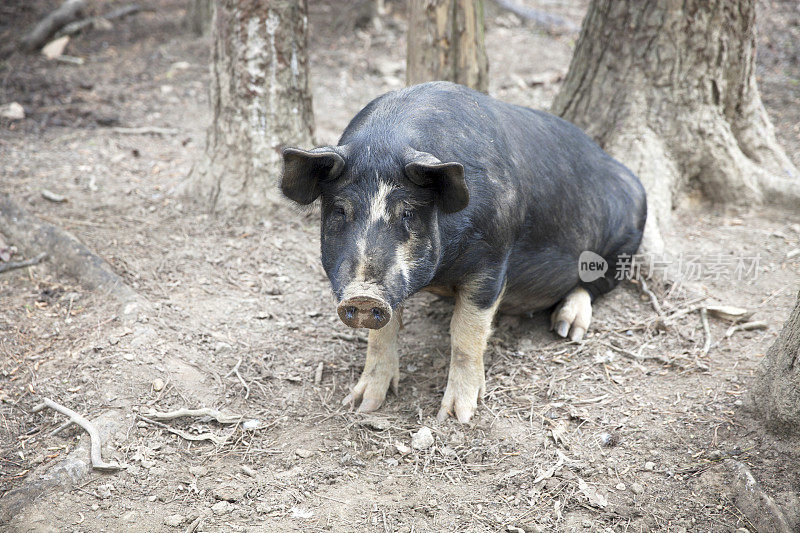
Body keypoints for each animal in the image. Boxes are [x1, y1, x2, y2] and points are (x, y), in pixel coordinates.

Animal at [278, 82, 648, 420]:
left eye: (408, 212)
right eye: (341, 211)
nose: (364, 296)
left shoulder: (493, 259)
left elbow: (466, 335)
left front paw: (457, 416)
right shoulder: (392, 291)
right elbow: (382, 335)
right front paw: (362, 405)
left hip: (627, 240)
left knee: (593, 286)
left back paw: (567, 329)